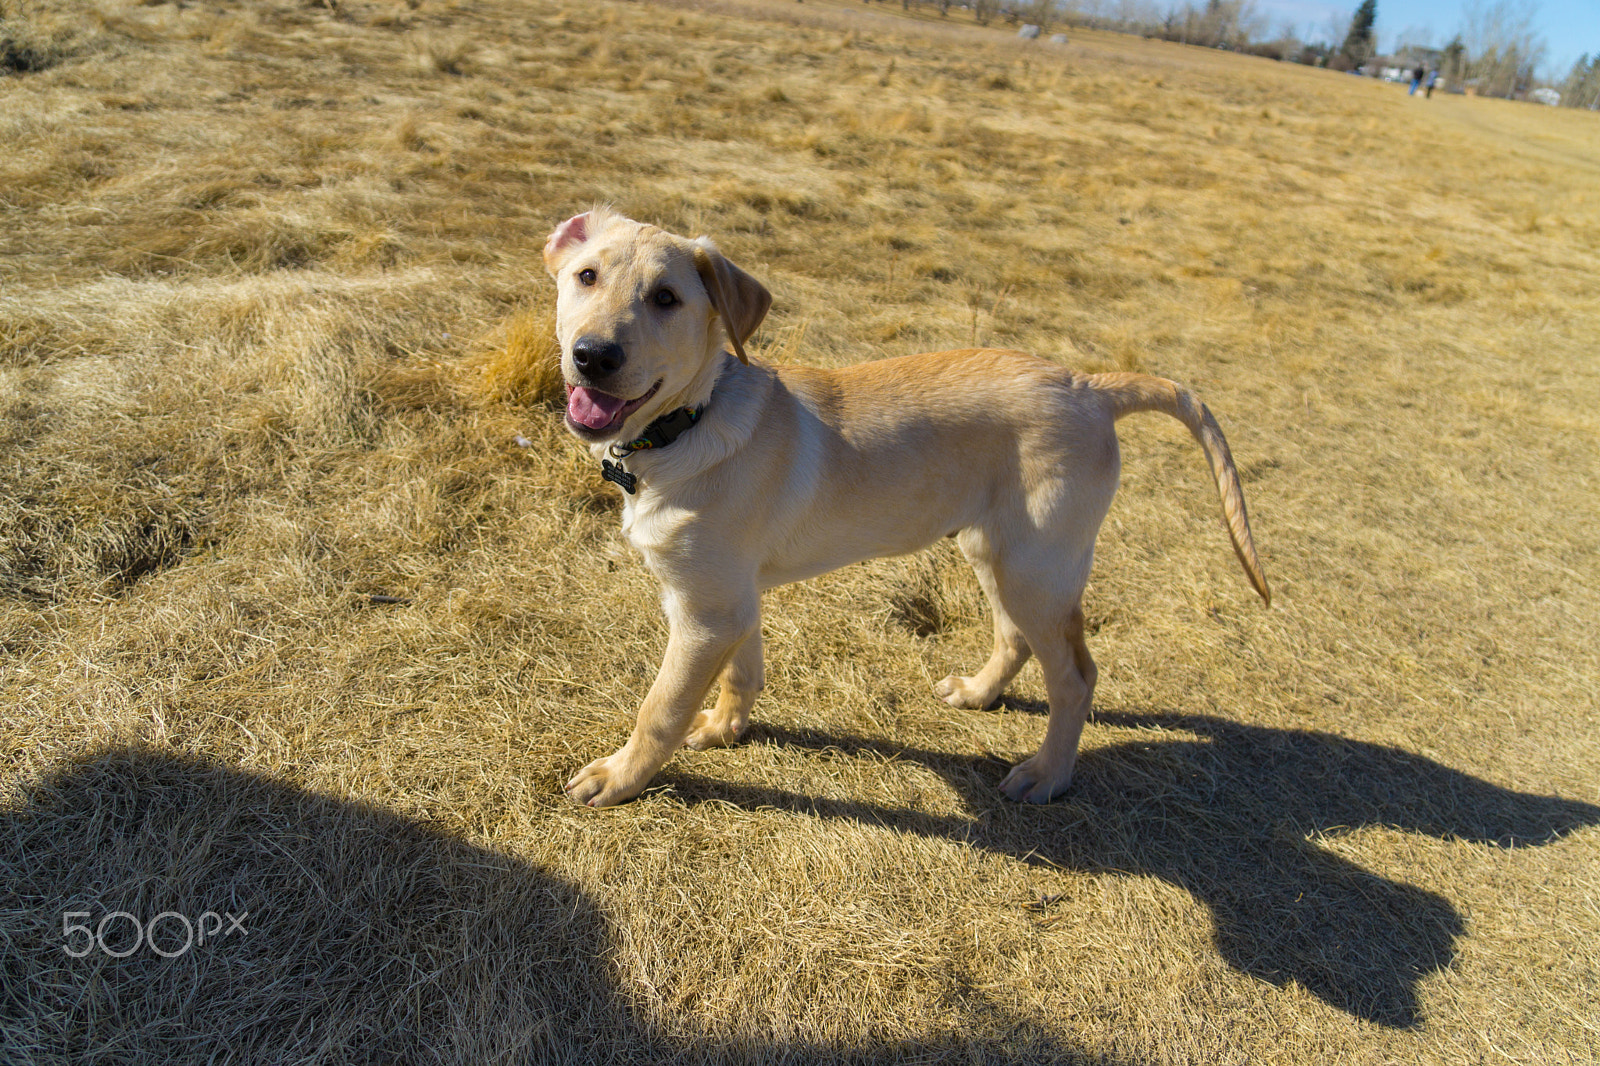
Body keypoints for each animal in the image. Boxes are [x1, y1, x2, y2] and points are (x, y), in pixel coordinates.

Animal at [544, 208, 1267, 806]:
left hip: (1037, 565)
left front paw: (620, 778)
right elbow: (743, 671)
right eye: (586, 276)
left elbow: (660, 707)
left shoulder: (705, 611)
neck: (690, 422)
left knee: (1077, 677)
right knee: (1015, 637)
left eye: (666, 299)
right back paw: (979, 693)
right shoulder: (729, 598)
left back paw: (1047, 775)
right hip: (994, 549)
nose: (593, 356)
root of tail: (1090, 386)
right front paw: (725, 728)